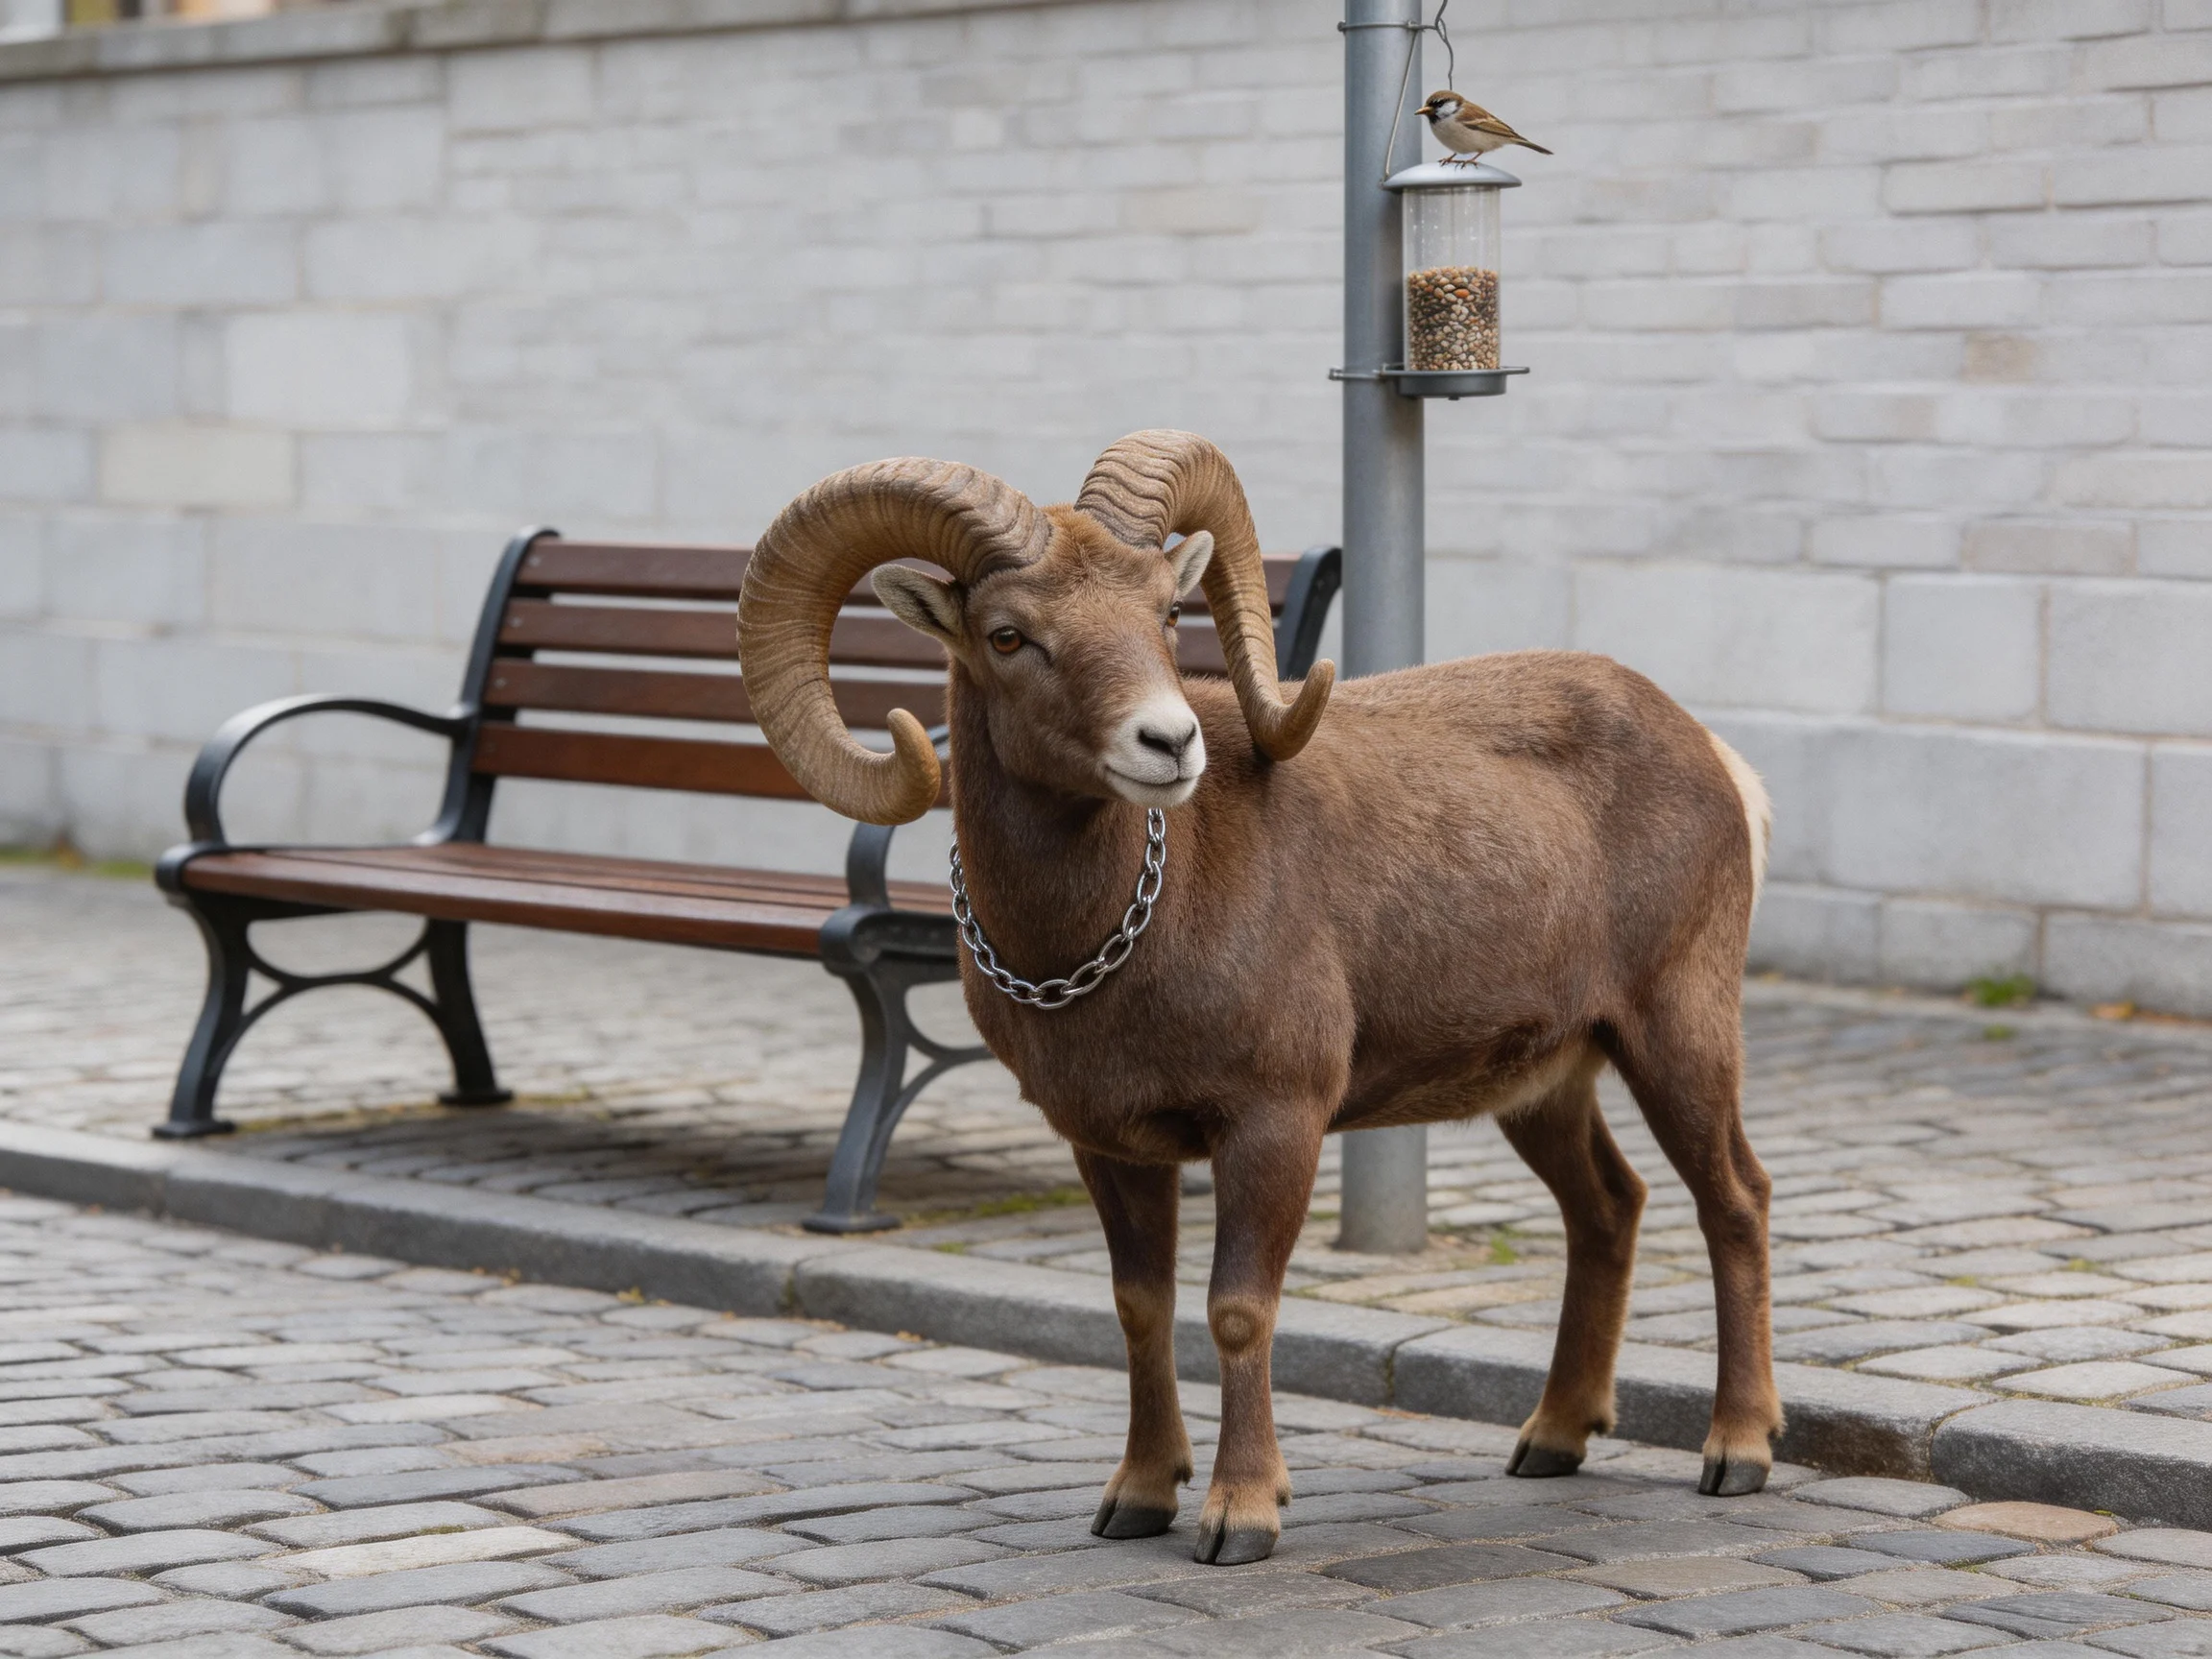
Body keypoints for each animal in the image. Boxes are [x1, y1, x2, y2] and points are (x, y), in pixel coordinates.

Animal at [737, 430, 1777, 1566]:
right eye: (1009, 635)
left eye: (1165, 612)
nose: (1167, 745)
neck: (1130, 923)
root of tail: (1716, 758)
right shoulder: (1109, 1145)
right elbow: (1140, 1308)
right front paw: (1138, 1500)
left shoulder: (1274, 1124)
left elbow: (1237, 1308)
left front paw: (1240, 1516)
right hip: (1546, 1087)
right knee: (1608, 1209)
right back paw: (1551, 1439)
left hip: (1676, 1036)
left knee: (1734, 1200)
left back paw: (1738, 1453)